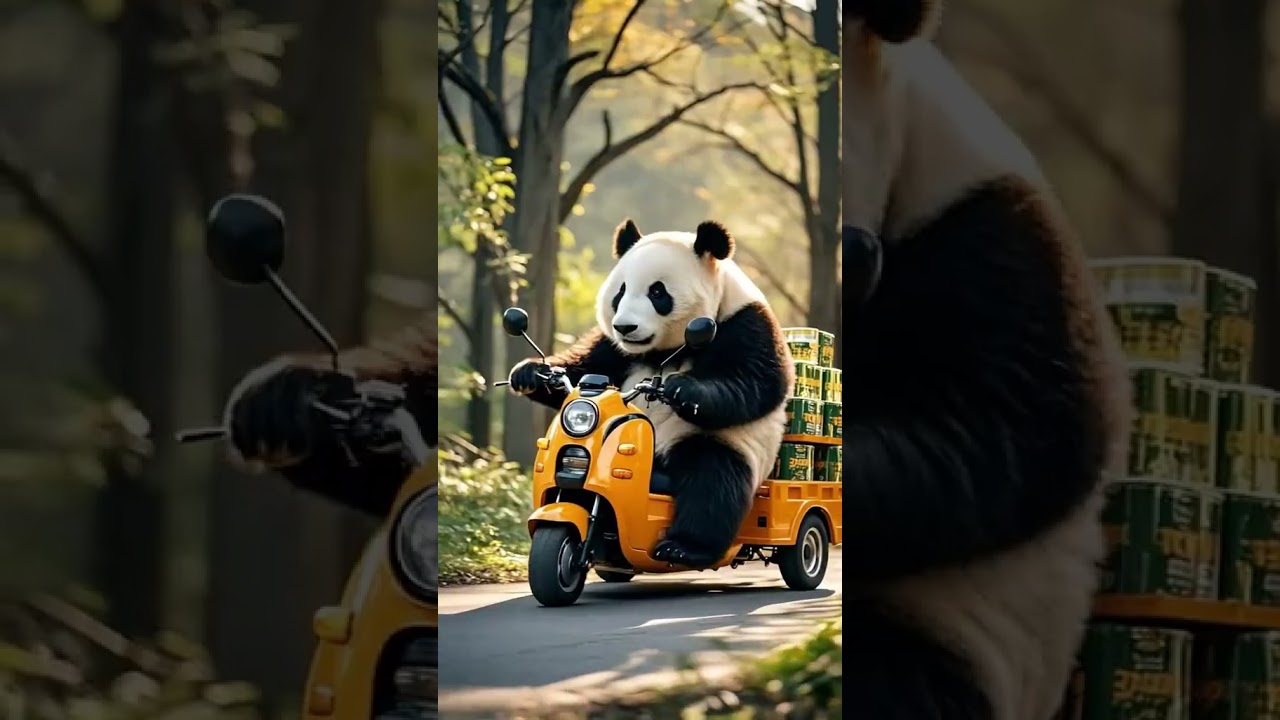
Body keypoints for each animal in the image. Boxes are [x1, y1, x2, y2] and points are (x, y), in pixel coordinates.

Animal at [506, 219, 793, 569]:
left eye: (657, 292)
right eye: (620, 292)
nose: (625, 327)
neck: (664, 351)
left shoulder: (744, 322)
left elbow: (757, 382)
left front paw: (683, 389)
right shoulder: (613, 349)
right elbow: (585, 365)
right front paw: (529, 373)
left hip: (732, 444)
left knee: (713, 478)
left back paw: (683, 548)